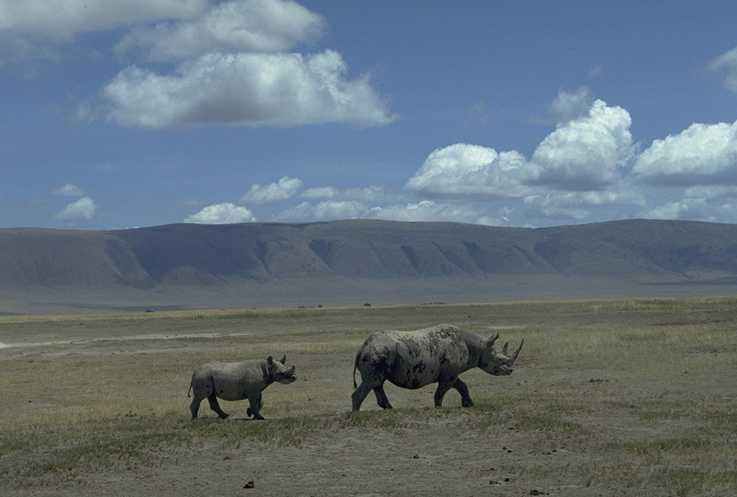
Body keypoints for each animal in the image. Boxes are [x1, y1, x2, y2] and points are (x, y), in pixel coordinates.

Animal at [351, 324, 523, 411]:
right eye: (499, 360)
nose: (510, 371)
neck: (478, 347)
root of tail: (362, 347)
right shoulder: (448, 375)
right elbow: (440, 393)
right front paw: (439, 409)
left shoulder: (451, 373)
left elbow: (462, 385)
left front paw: (468, 404)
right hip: (377, 354)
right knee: (372, 382)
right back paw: (356, 415)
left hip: (378, 355)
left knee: (377, 382)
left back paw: (391, 410)